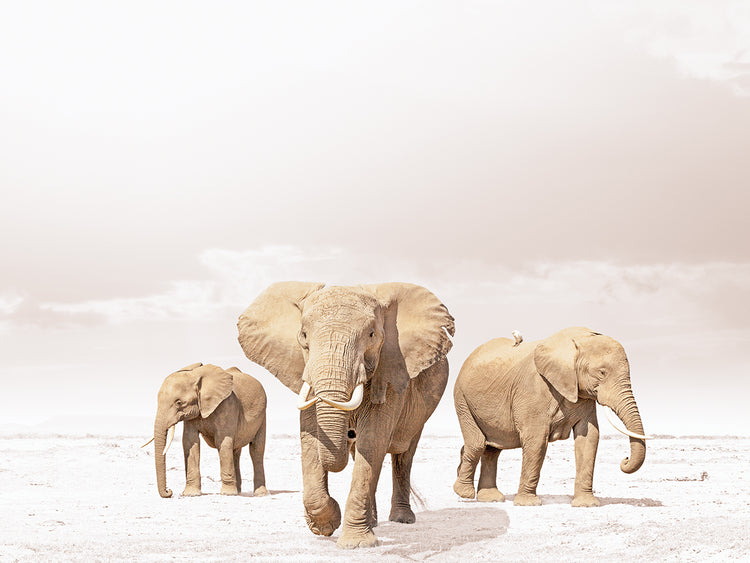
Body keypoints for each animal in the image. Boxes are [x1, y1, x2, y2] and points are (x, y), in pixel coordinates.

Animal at [147, 363, 268, 499]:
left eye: (179, 403)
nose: (169, 491)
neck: (195, 376)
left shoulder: (228, 404)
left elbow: (223, 442)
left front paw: (227, 494)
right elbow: (190, 442)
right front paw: (191, 494)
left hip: (263, 416)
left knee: (256, 450)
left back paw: (260, 494)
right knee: (235, 451)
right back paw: (238, 491)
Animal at [237, 282, 454, 549]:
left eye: (371, 335)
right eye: (304, 336)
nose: (350, 432)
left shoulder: (390, 368)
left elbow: (372, 441)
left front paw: (356, 544)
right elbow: (311, 439)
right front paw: (325, 526)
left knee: (403, 455)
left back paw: (402, 520)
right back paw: (373, 523)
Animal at [453, 327, 648, 507]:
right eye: (602, 372)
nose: (625, 459)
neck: (576, 341)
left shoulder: (581, 393)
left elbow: (589, 437)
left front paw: (587, 504)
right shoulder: (533, 389)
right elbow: (537, 440)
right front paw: (528, 504)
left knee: (492, 449)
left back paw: (491, 498)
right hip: (462, 399)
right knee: (478, 443)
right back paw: (464, 492)